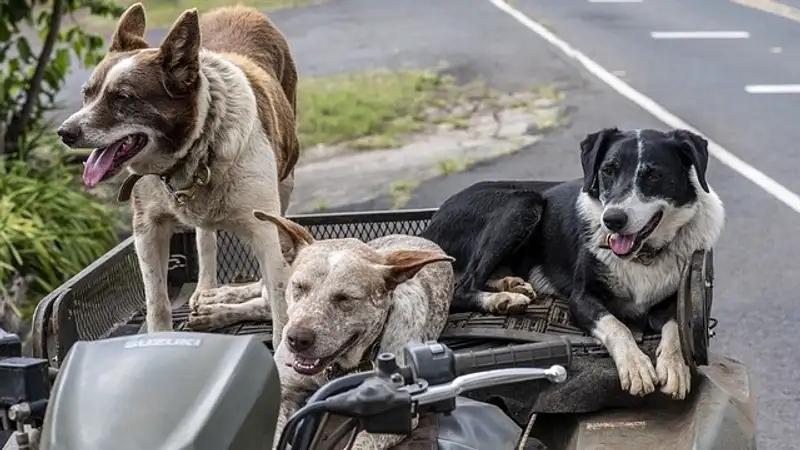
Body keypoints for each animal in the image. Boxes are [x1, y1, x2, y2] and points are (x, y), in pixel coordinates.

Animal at [55, 3, 300, 346]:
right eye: (87, 94)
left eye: (123, 98)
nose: (64, 133)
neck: (196, 149)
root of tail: (240, 8)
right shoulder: (147, 228)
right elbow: (157, 302)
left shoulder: (265, 230)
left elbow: (280, 307)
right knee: (205, 237)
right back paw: (208, 293)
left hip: (286, 182)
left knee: (267, 287)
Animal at [422, 128, 728, 400]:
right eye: (608, 170)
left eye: (654, 174)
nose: (612, 220)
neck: (642, 256)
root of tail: (430, 225)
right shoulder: (581, 299)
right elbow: (617, 325)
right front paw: (636, 366)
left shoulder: (674, 299)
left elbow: (675, 326)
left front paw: (675, 366)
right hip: (523, 202)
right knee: (461, 287)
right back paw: (502, 300)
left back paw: (511, 285)